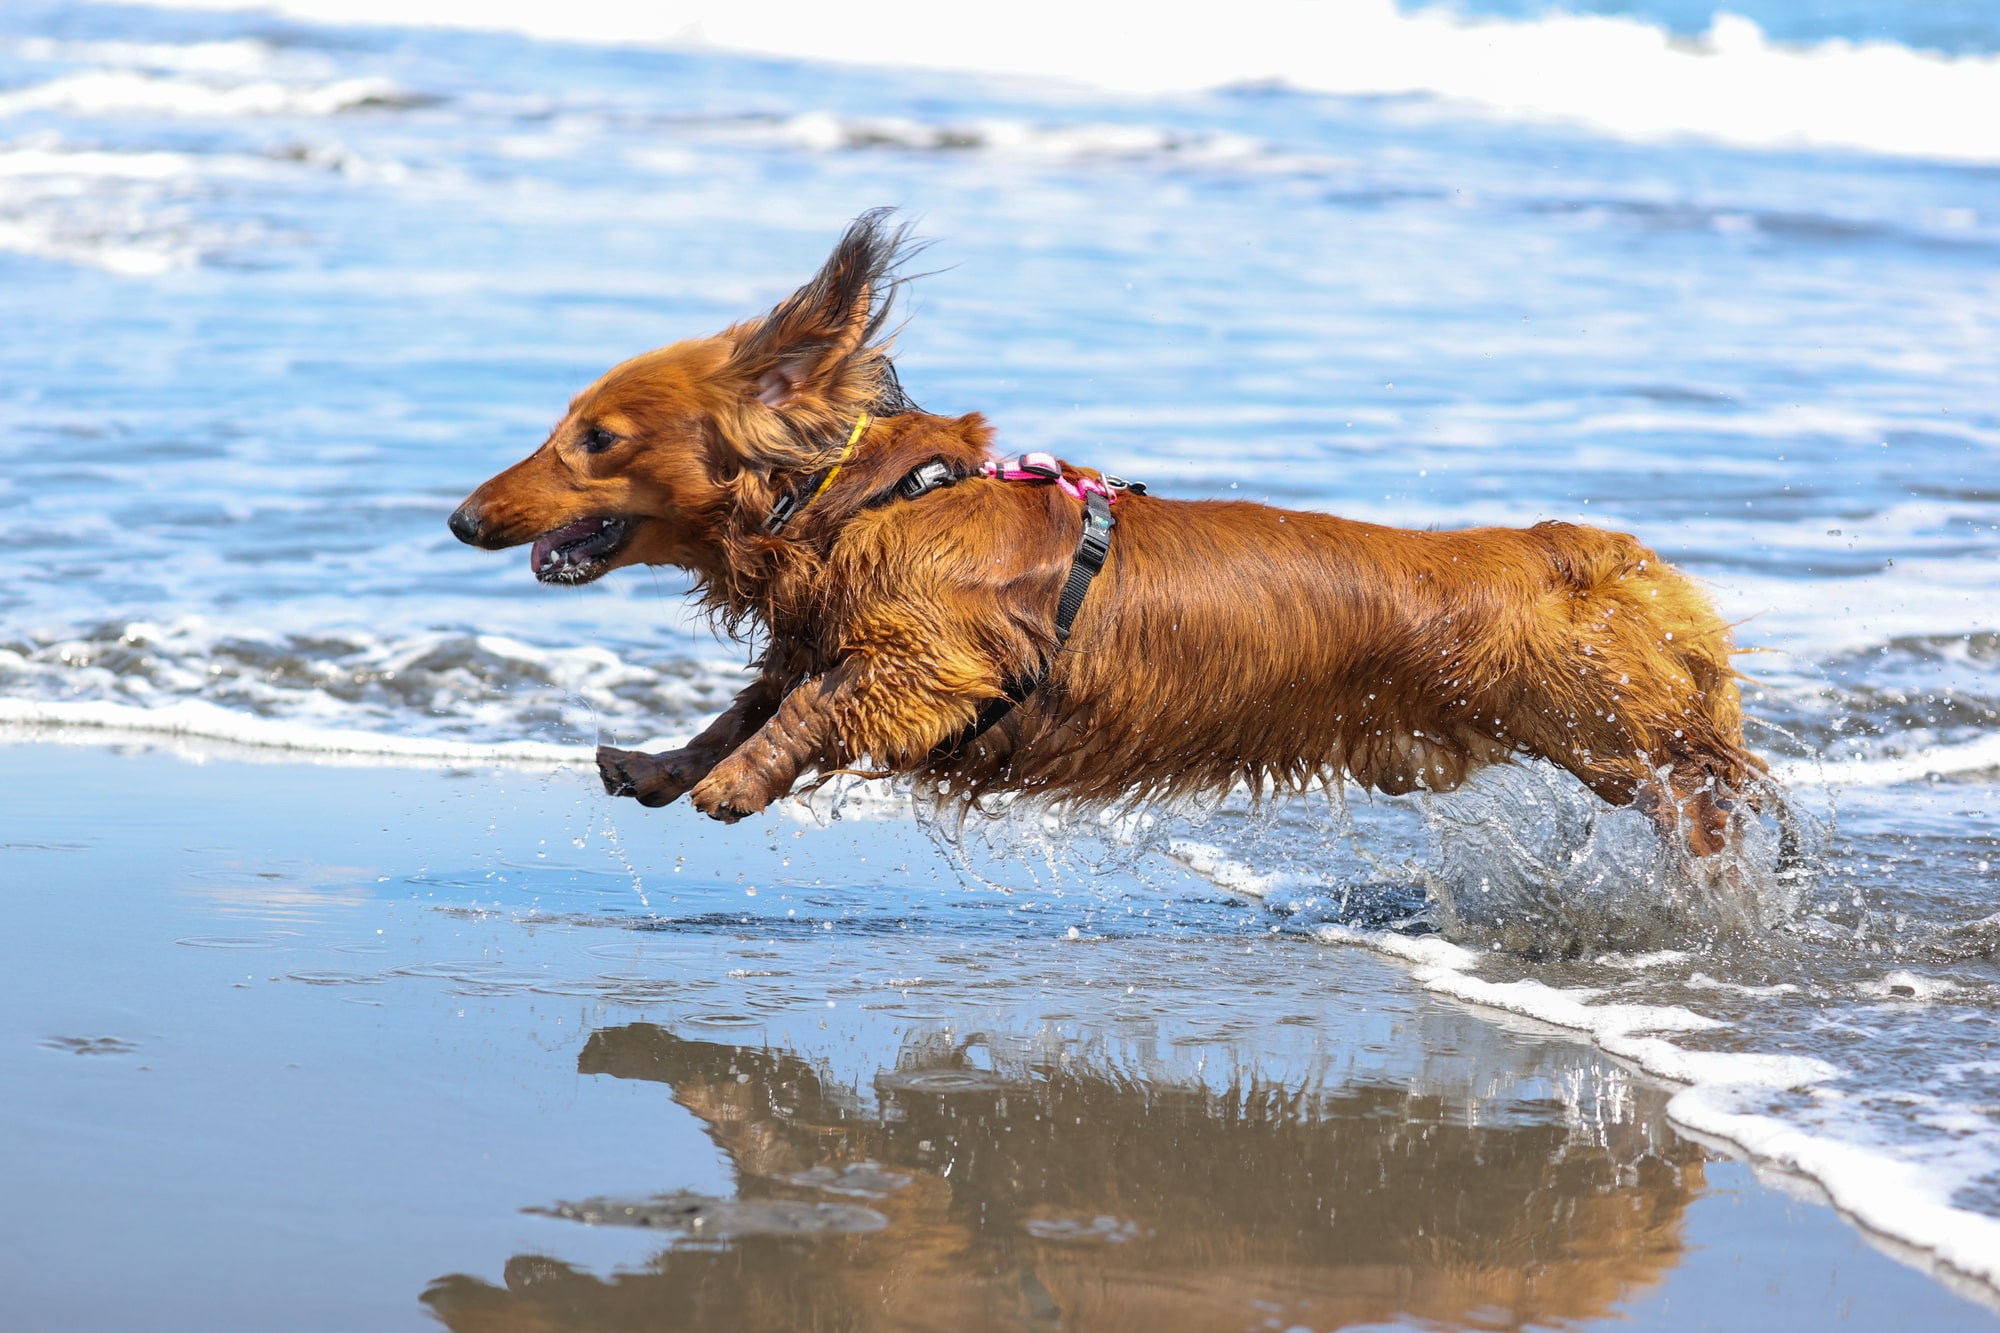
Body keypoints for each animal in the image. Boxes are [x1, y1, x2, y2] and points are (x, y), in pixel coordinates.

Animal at [454, 208, 1768, 852]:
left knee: (1699, 783)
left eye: (596, 440)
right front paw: (662, 764)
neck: (877, 498)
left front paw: (735, 785)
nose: (463, 518)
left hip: (1609, 740)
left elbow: (813, 707)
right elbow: (751, 700)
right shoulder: (822, 637)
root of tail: (1577, 553)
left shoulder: (928, 659)